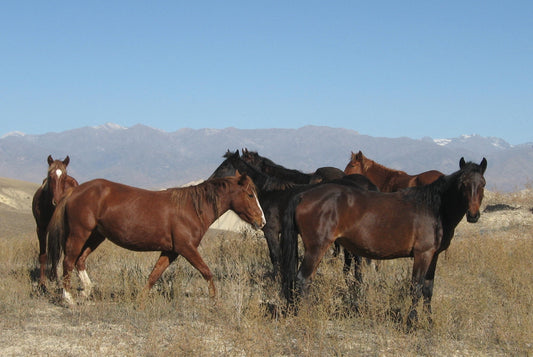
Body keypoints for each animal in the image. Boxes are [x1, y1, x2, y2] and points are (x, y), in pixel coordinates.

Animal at [31, 154, 78, 288]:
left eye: (64, 177)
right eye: (50, 176)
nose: (57, 201)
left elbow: (56, 254)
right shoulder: (41, 229)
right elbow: (44, 255)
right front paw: (42, 282)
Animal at [46, 171, 264, 304]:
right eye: (250, 195)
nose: (261, 221)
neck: (191, 209)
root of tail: (75, 190)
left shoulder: (171, 251)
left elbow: (153, 275)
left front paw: (139, 300)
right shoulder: (186, 248)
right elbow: (207, 272)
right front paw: (215, 301)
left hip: (96, 235)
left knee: (80, 260)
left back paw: (87, 291)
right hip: (80, 233)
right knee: (68, 261)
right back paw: (69, 298)